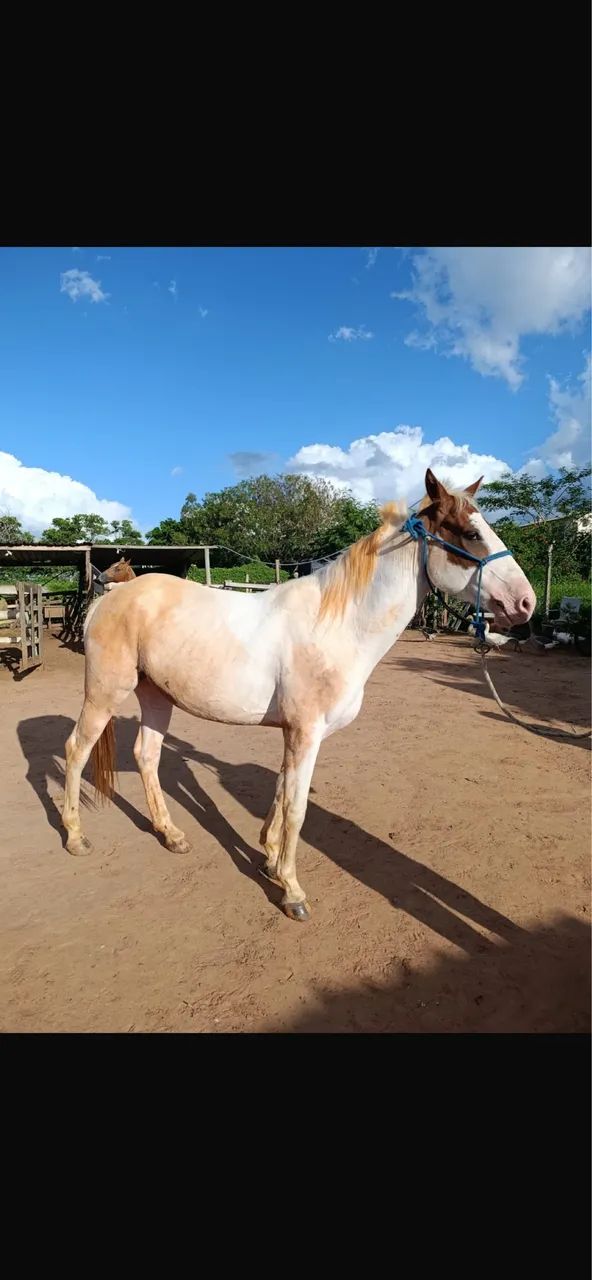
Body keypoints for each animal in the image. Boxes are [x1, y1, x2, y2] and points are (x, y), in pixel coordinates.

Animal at [62, 469, 536, 922]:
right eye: (471, 533)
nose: (526, 604)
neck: (339, 625)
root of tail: (112, 597)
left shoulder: (297, 733)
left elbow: (280, 790)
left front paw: (270, 859)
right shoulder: (304, 732)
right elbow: (297, 807)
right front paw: (292, 891)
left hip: (156, 696)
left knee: (147, 755)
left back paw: (171, 834)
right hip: (105, 693)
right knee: (76, 751)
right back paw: (76, 837)